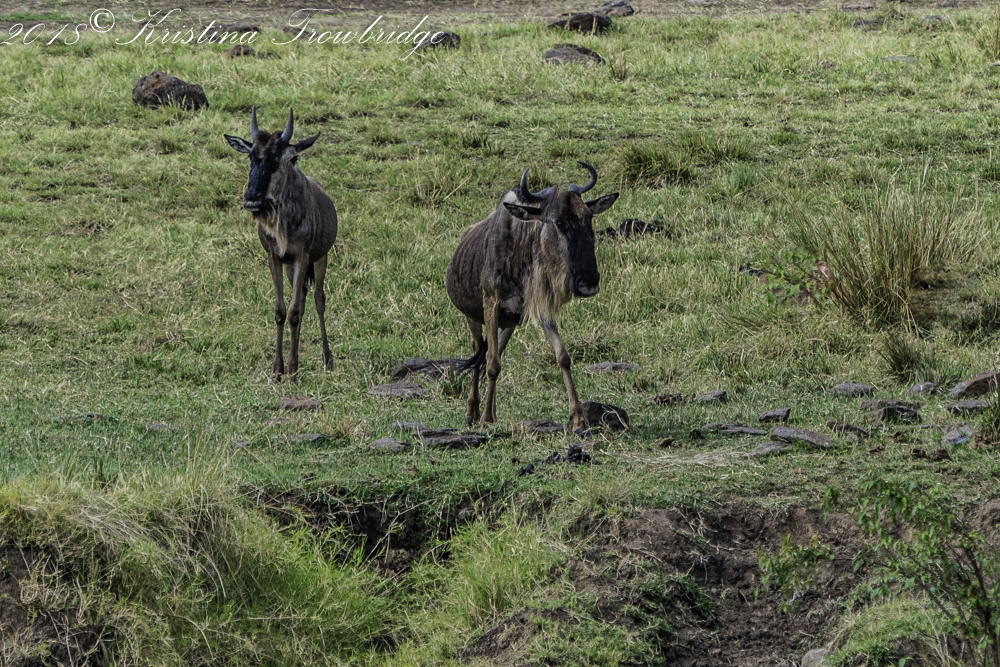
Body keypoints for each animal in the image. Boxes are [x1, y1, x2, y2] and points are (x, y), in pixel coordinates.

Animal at [225, 107, 338, 382]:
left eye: (287, 158)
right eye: (251, 156)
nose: (252, 200)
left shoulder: (303, 257)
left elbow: (295, 312)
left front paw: (293, 370)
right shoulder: (275, 257)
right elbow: (281, 311)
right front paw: (278, 369)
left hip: (321, 258)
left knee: (318, 299)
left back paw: (327, 360)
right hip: (290, 267)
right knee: (305, 298)